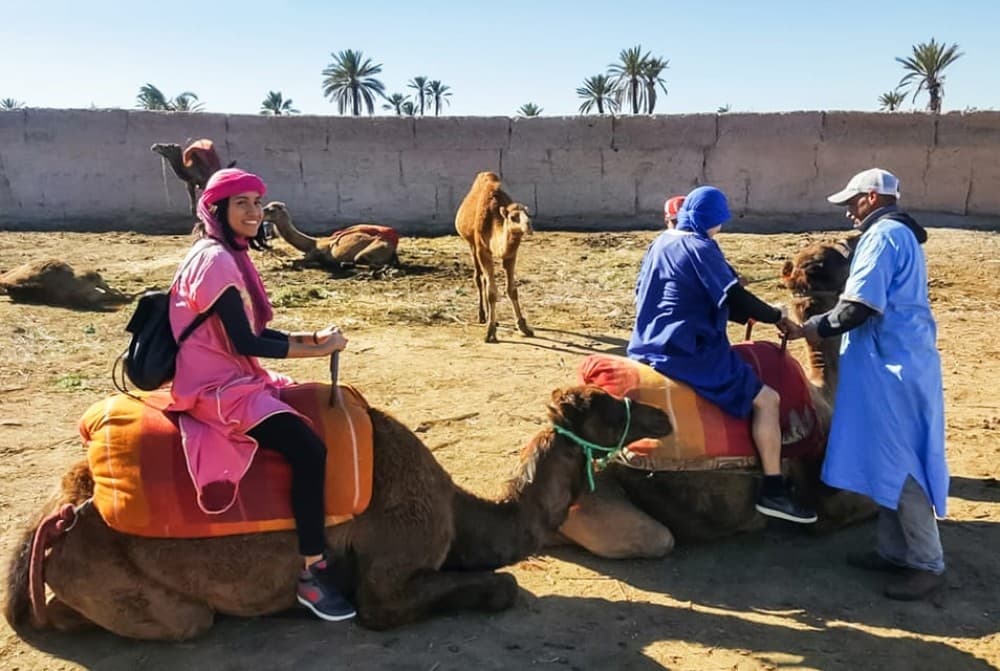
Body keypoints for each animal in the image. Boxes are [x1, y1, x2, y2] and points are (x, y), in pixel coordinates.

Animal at [4, 385, 671, 640]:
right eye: (608, 405)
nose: (662, 415)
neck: (461, 512)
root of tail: (54, 514)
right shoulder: (392, 568)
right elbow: (498, 588)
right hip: (137, 593)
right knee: (181, 618)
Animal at [261, 202, 400, 268]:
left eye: (271, 209)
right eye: (266, 206)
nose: (261, 213)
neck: (313, 243)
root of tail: (393, 249)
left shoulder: (315, 253)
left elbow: (294, 261)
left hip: (370, 251)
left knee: (371, 264)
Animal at [455, 172, 534, 343]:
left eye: (529, 214)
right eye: (513, 217)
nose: (529, 226)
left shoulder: (511, 254)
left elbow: (512, 289)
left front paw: (523, 327)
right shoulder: (482, 249)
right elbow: (491, 292)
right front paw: (490, 332)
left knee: (485, 279)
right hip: (472, 244)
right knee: (479, 278)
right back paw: (482, 316)